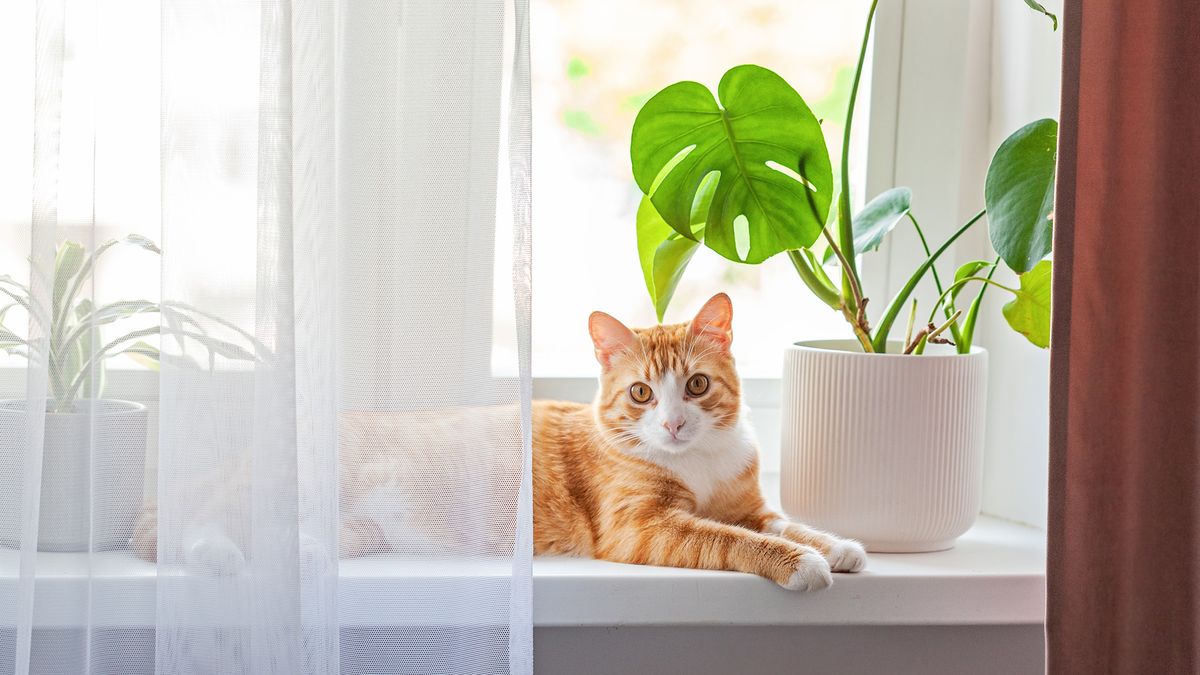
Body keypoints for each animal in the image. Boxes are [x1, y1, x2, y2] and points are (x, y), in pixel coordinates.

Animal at [540, 291, 868, 586]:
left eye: (698, 384)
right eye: (640, 392)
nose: (673, 423)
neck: (695, 457)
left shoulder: (748, 509)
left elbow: (785, 525)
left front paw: (836, 545)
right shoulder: (639, 528)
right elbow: (725, 536)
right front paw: (801, 560)